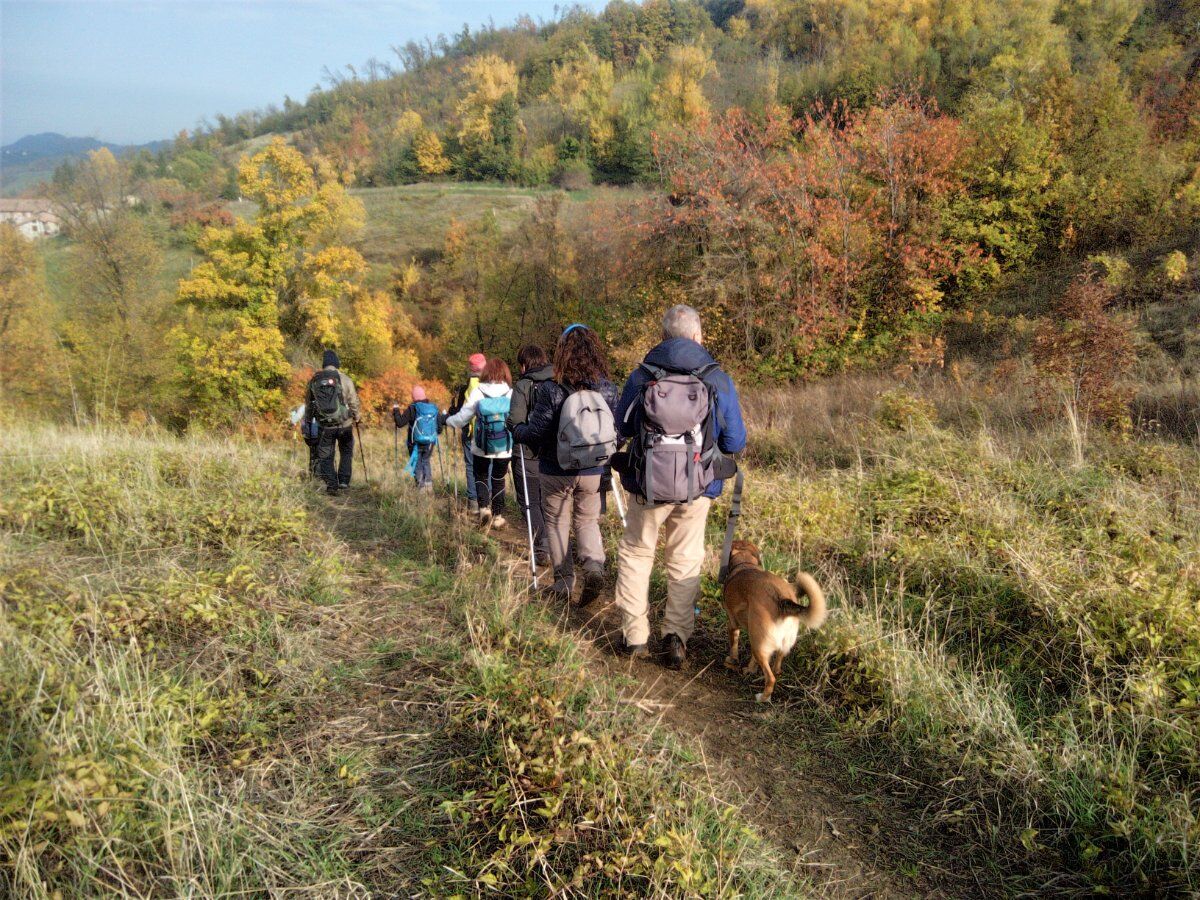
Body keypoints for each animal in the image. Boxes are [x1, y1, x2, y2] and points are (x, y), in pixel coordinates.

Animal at [720, 540, 825, 700]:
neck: (744, 563)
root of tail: (781, 600)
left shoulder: (732, 625)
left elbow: (733, 648)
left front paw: (732, 662)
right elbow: (752, 660)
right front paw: (750, 670)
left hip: (758, 645)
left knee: (771, 679)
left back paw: (762, 698)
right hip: (771, 643)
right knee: (776, 668)